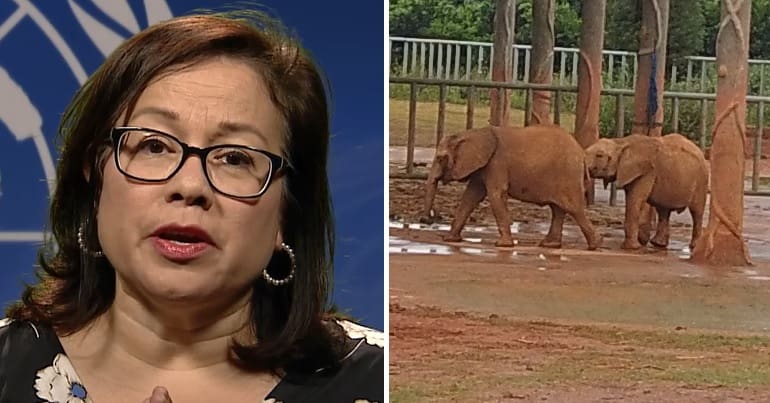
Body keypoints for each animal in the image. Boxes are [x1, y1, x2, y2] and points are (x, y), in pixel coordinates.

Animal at [420, 123, 600, 251]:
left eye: (441, 158)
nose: (426, 220)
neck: (472, 133)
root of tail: (582, 154)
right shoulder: (484, 166)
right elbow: (470, 197)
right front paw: (450, 240)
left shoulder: (496, 163)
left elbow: (495, 194)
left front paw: (502, 245)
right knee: (558, 209)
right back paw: (549, 245)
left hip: (568, 174)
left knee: (573, 208)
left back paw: (594, 245)